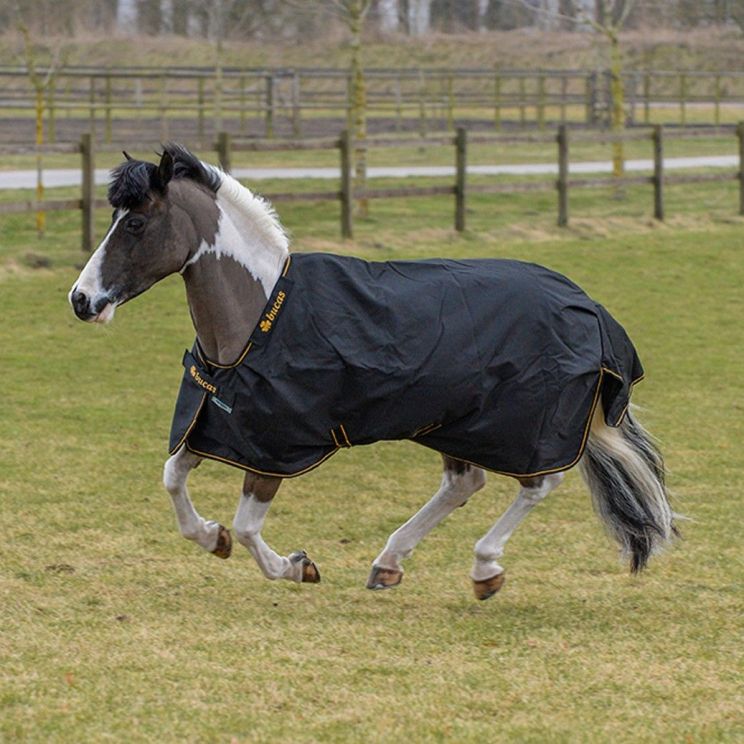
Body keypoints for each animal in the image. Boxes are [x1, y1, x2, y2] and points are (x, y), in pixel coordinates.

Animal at [68, 144, 677, 600]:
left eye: (136, 223)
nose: (81, 300)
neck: (259, 317)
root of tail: (589, 307)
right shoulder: (216, 426)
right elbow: (173, 480)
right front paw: (211, 537)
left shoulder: (274, 447)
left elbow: (246, 526)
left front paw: (297, 566)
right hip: (455, 422)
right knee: (465, 483)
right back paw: (389, 564)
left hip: (520, 427)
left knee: (537, 483)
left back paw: (484, 568)